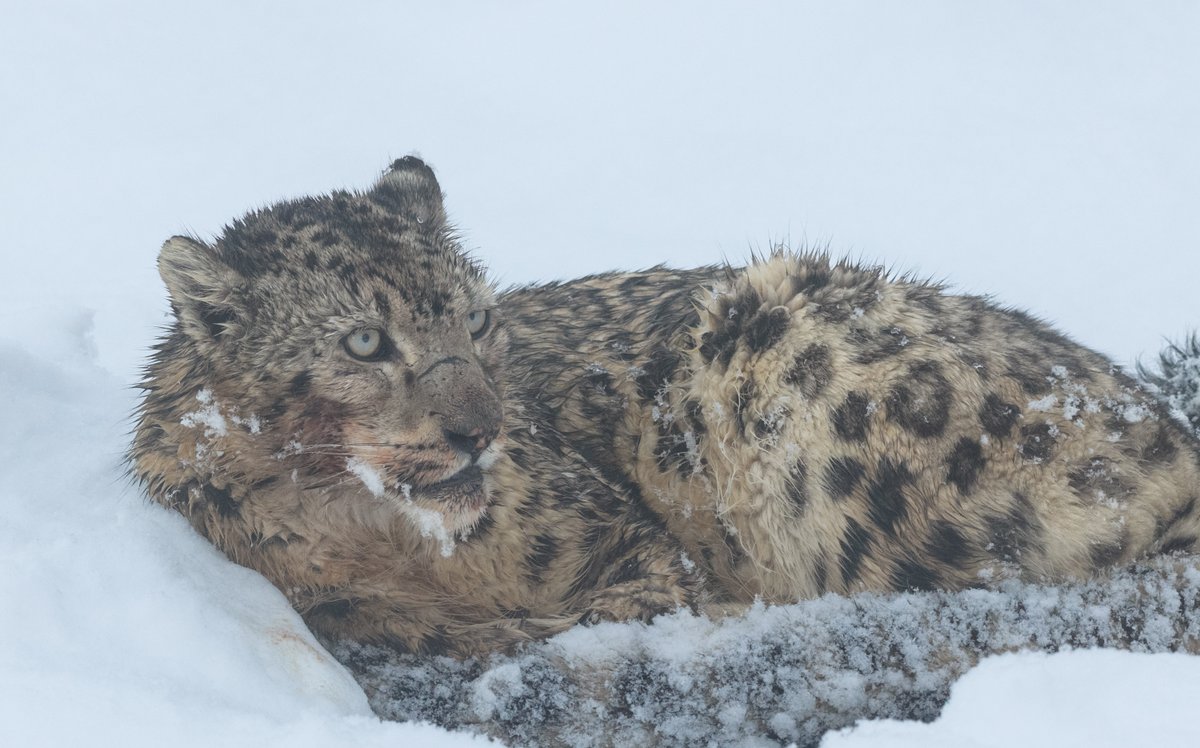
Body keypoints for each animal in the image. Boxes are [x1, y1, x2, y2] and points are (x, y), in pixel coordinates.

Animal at [132, 156, 1200, 657]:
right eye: (363, 342)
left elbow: (631, 591)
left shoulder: (610, 530)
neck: (387, 540)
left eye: (476, 318)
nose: (481, 429)